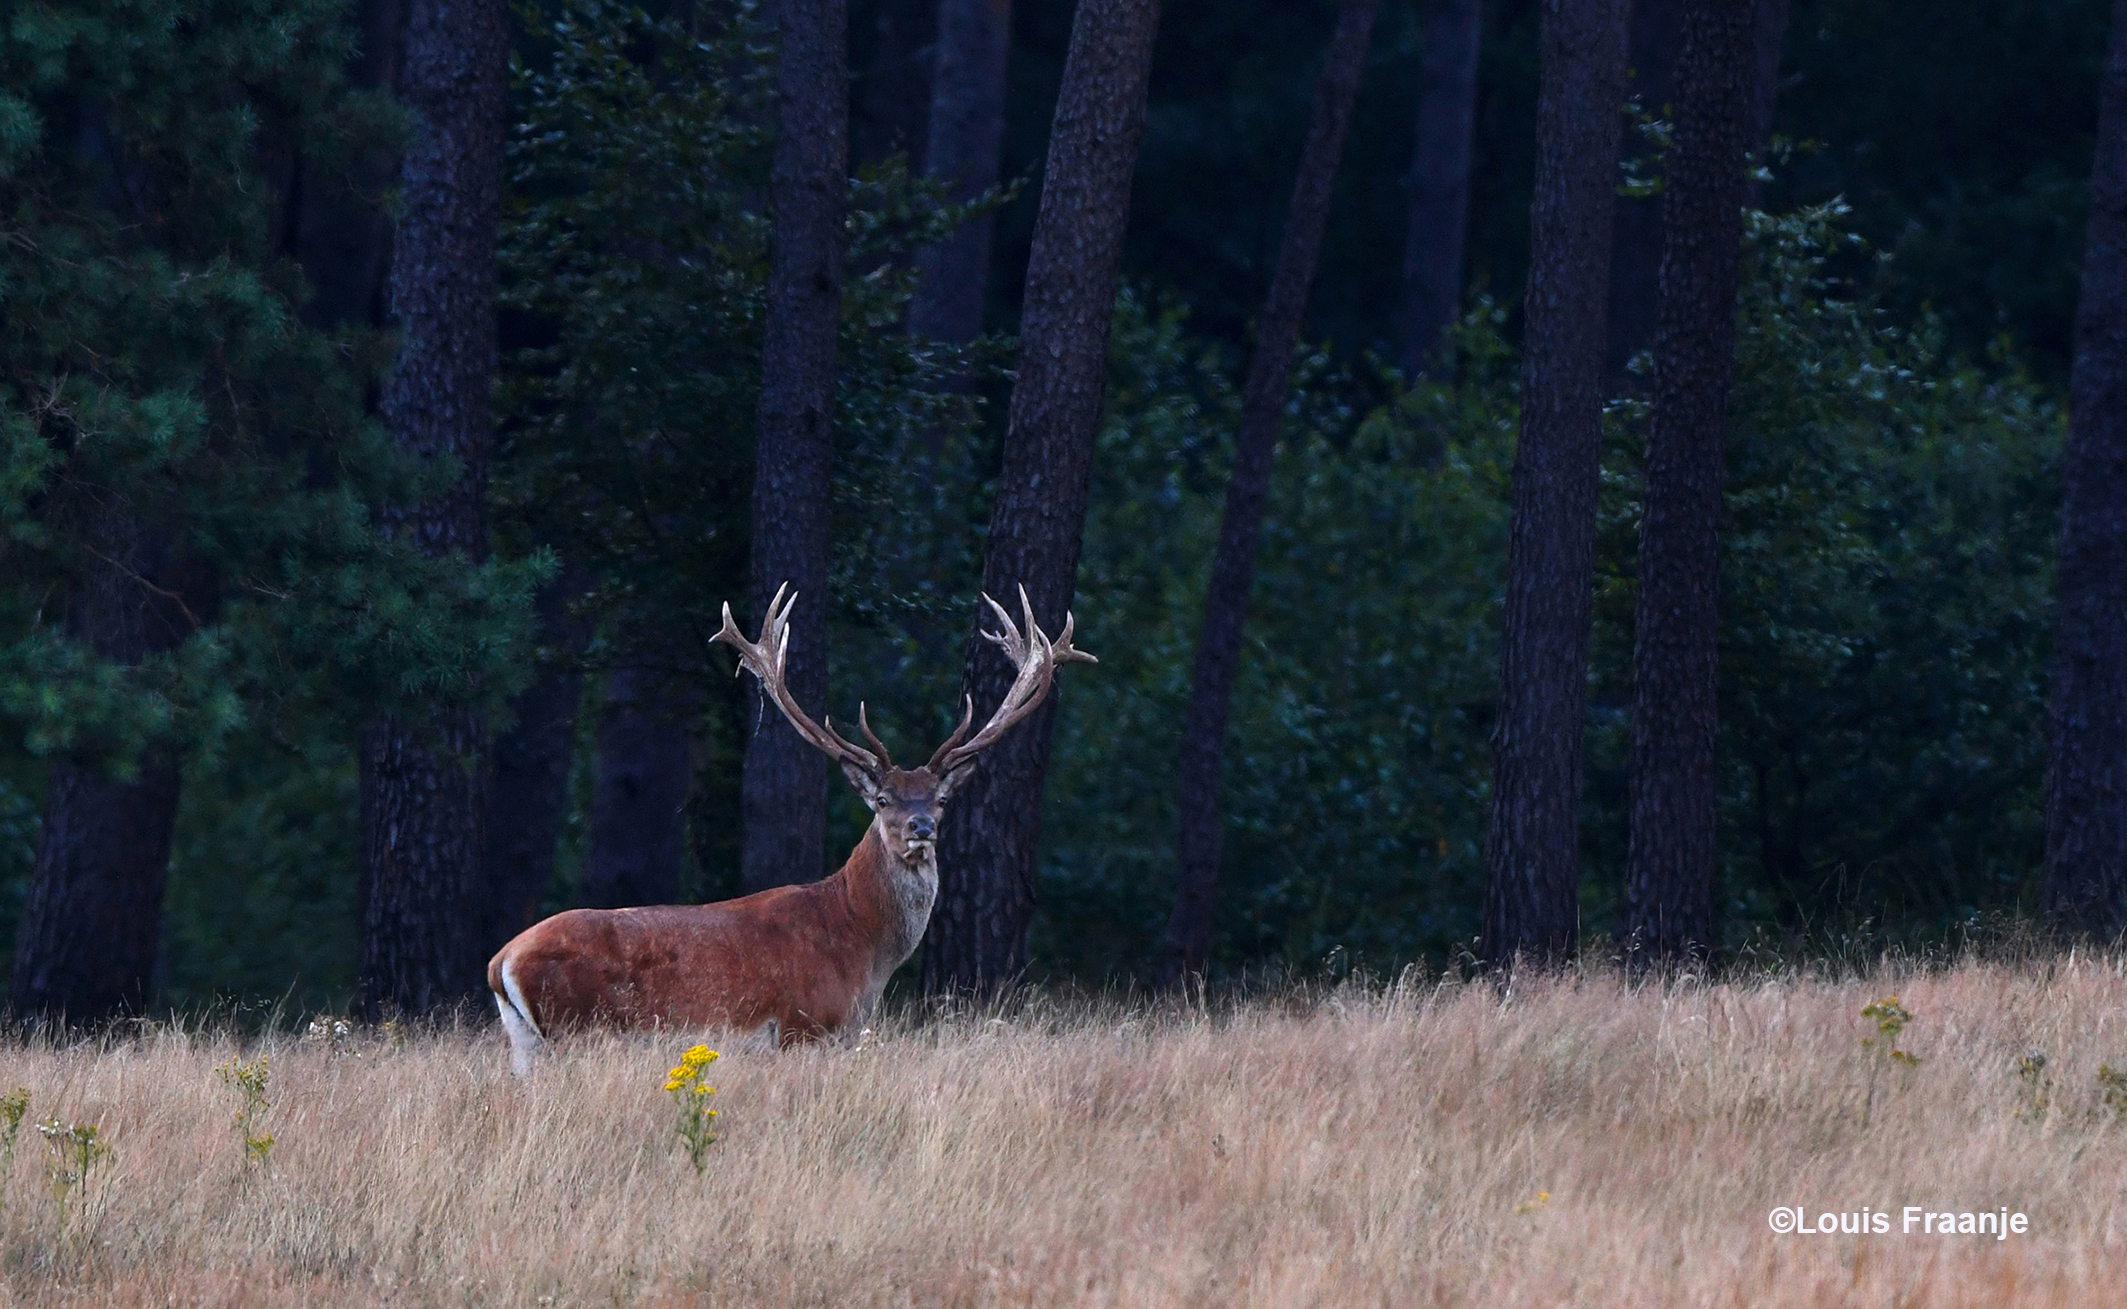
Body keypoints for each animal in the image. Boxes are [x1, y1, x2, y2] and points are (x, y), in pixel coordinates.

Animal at [484, 583, 1097, 1076]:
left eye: (942, 799)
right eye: (882, 799)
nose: (921, 826)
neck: (861, 949)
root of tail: (500, 962)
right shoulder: (803, 1025)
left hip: (528, 1045)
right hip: (580, 1031)